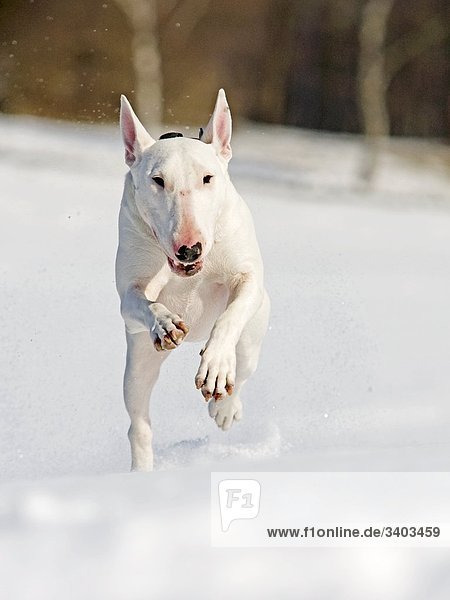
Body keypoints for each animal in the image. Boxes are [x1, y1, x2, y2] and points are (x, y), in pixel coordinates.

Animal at [117, 90, 270, 474]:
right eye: (158, 180)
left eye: (208, 178)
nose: (189, 249)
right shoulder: (128, 294)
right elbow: (140, 301)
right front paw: (165, 322)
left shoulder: (248, 278)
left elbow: (230, 314)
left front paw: (214, 366)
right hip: (138, 363)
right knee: (138, 418)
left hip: (252, 338)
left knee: (242, 368)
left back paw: (225, 405)